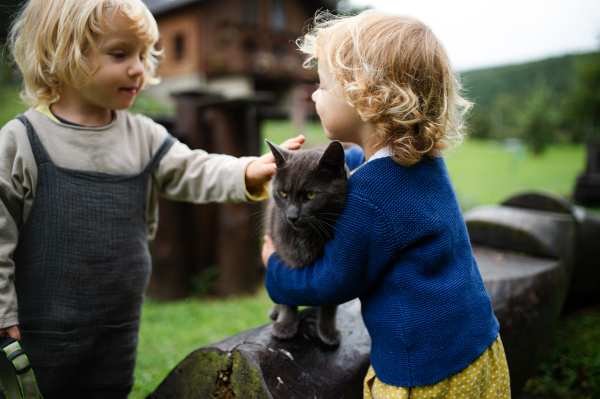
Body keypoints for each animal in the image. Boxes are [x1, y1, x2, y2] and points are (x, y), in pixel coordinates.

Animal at [264, 139, 350, 346]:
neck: (305, 235)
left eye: (311, 195)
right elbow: (286, 294)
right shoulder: (285, 257)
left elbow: (330, 303)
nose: (292, 216)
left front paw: (328, 331)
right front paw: (285, 325)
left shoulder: (330, 269)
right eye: (282, 194)